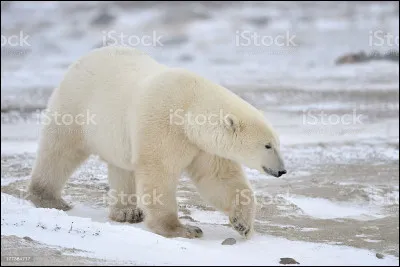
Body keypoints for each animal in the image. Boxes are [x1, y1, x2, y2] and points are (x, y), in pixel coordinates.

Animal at [27, 45, 284, 240]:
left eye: (276, 143)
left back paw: (127, 212)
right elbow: (158, 174)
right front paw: (183, 229)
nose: (282, 171)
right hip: (77, 107)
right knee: (59, 150)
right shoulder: (162, 125)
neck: (188, 108)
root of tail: (85, 57)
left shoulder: (203, 146)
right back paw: (48, 197)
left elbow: (218, 179)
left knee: (123, 168)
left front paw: (243, 224)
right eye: (267, 145)